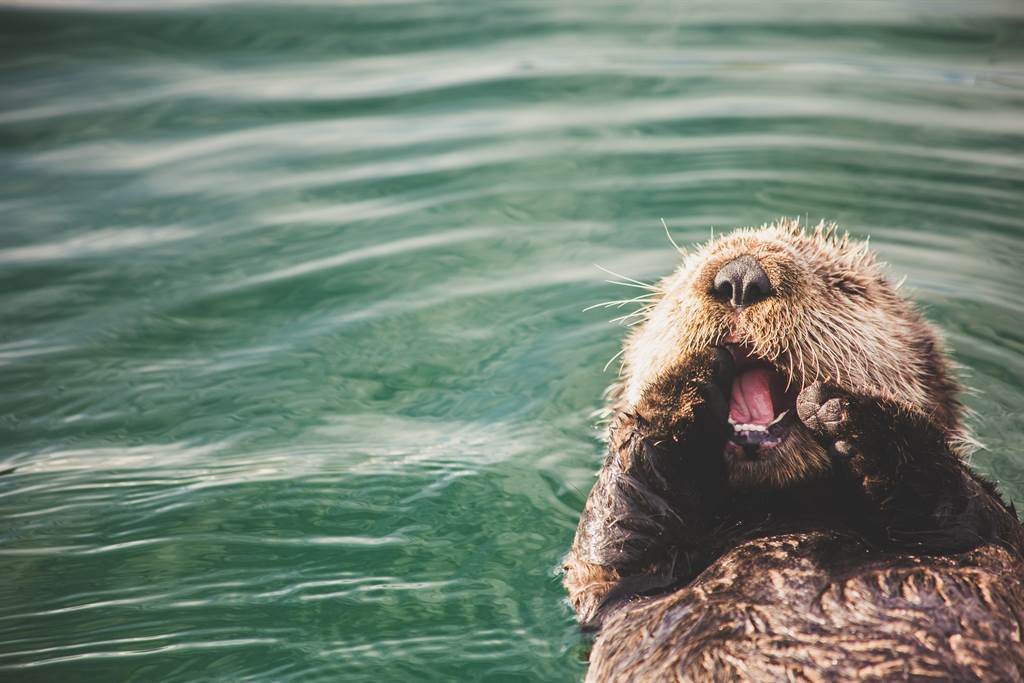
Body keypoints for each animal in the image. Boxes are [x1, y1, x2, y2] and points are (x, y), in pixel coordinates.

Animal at [565, 220, 1024, 683]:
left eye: (846, 287)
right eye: (678, 281)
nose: (740, 277)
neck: (781, 516)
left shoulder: (991, 532)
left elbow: (960, 502)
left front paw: (844, 409)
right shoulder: (614, 581)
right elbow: (612, 536)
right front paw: (686, 381)